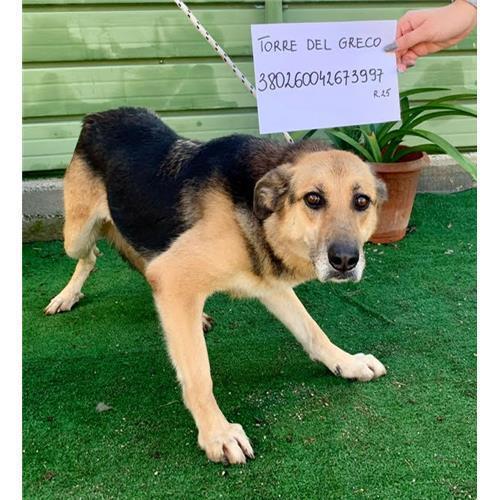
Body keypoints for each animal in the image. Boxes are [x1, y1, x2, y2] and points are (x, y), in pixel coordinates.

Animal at [45, 107, 388, 464]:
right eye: (313, 199)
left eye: (362, 201)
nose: (346, 260)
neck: (253, 207)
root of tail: (99, 115)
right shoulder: (172, 275)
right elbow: (198, 374)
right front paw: (217, 433)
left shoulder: (267, 281)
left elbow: (312, 331)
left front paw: (346, 362)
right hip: (76, 236)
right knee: (91, 255)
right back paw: (67, 295)